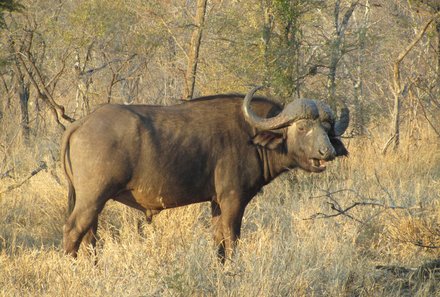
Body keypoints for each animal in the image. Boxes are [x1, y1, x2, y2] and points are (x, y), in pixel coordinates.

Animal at [62, 85, 348, 260]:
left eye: (326, 127)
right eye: (302, 128)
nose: (327, 152)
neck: (251, 135)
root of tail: (81, 123)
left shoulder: (216, 202)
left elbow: (218, 241)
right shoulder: (233, 199)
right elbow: (232, 239)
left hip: (94, 202)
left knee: (90, 236)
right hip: (92, 198)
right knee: (74, 230)